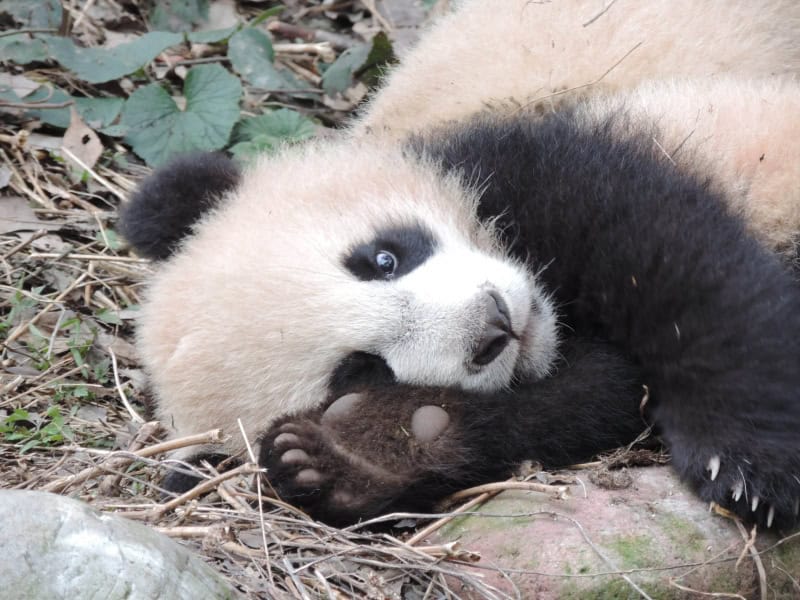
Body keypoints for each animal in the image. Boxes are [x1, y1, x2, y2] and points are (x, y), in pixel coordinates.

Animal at [119, 0, 800, 528]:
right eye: (359, 369)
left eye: (382, 258)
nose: (494, 325)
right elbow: (586, 399)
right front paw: (353, 460)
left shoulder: (540, 153)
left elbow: (679, 265)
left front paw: (745, 463)